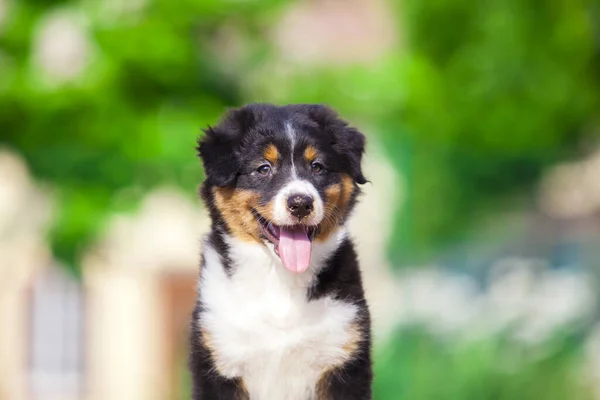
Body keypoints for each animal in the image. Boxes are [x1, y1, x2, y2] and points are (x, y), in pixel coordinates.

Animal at [190, 104, 372, 400]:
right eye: (264, 168)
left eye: (317, 166)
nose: (301, 203)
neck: (280, 278)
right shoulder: (220, 361)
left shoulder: (342, 361)